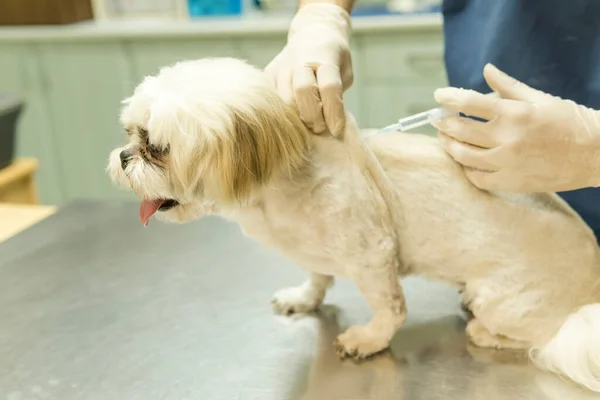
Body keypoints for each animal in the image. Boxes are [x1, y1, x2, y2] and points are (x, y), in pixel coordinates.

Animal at [106, 57, 600, 394]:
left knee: (539, 336)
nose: (125, 157)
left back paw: (485, 331)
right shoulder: (316, 249)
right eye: (131, 134)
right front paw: (304, 297)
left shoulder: (374, 254)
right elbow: (317, 276)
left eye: (157, 147)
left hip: (502, 300)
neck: (284, 180)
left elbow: (390, 309)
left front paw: (368, 340)